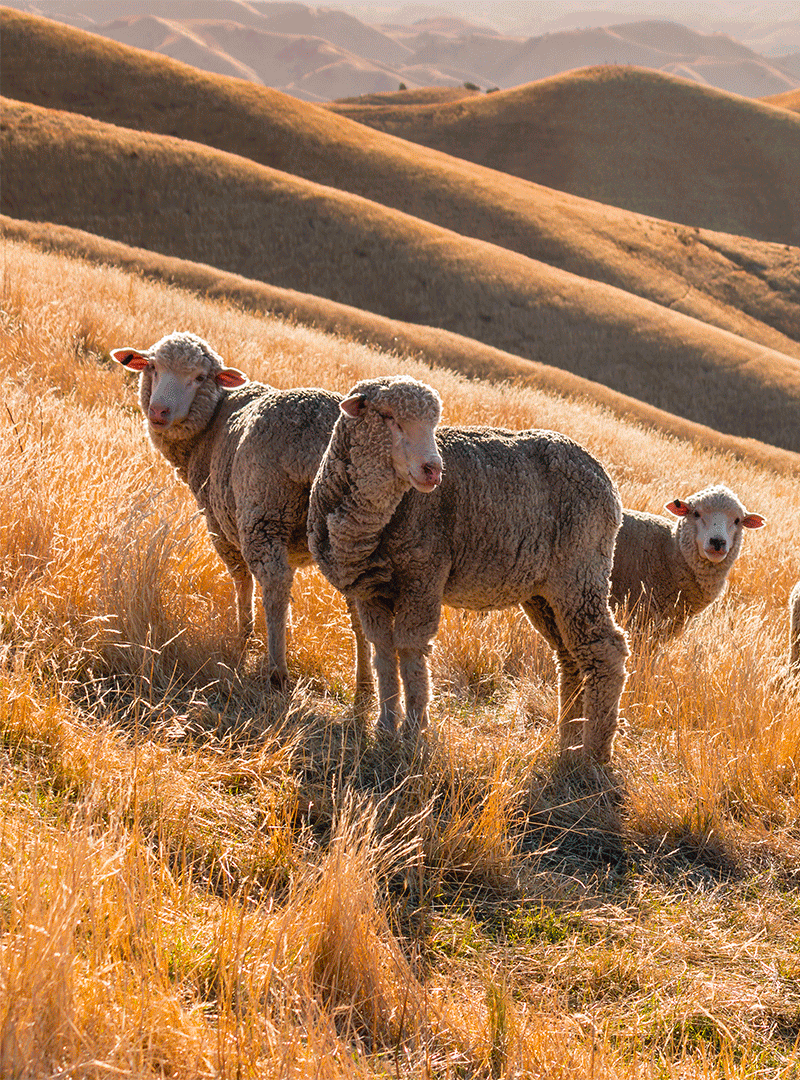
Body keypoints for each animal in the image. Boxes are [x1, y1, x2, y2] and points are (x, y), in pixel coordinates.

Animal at [112, 331, 373, 703]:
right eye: (153, 367)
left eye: (199, 378)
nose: (158, 411)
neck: (213, 422)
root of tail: (323, 430)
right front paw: (281, 630)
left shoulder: (219, 523)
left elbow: (242, 579)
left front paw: (245, 633)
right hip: (353, 524)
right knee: (356, 600)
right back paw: (365, 684)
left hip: (263, 512)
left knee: (274, 583)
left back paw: (277, 671)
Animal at [308, 374, 629, 764]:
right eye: (387, 416)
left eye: (434, 424)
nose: (433, 470)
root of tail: (603, 475)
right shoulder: (372, 589)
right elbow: (382, 652)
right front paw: (384, 727)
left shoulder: (424, 576)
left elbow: (411, 650)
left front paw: (413, 731)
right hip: (544, 592)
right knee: (570, 656)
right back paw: (568, 738)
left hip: (581, 572)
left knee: (605, 651)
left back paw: (594, 753)